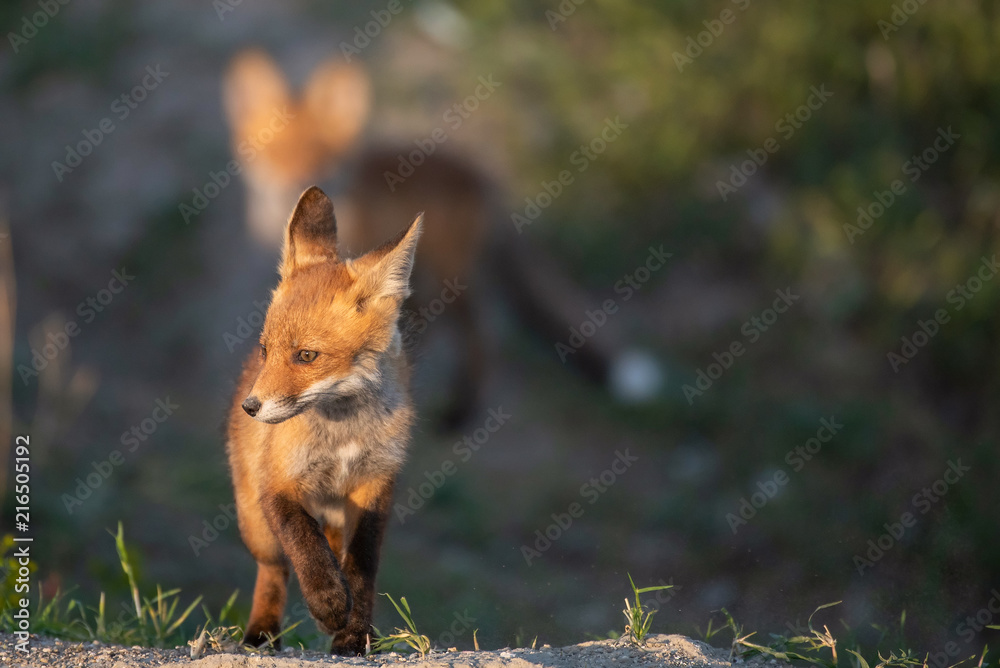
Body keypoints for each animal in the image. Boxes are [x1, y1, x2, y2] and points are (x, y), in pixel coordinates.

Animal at [223, 49, 660, 428]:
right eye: (272, 151)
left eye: (319, 154)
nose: (291, 184)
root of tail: (484, 177)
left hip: (453, 280)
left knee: (480, 337)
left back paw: (459, 413)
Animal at [227, 185, 418, 656]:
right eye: (266, 349)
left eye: (306, 355)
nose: (251, 407)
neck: (343, 431)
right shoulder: (278, 482)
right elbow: (302, 541)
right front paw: (328, 602)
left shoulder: (376, 483)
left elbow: (362, 564)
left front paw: (355, 633)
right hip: (254, 524)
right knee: (274, 569)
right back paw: (262, 632)